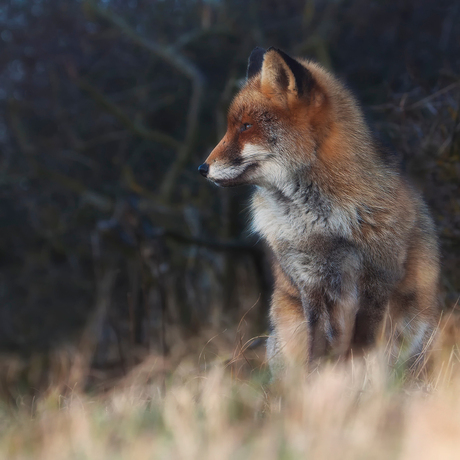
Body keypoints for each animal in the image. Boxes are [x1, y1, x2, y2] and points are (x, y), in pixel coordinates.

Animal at [199, 46, 440, 376]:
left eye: (246, 126)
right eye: (232, 126)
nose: (201, 169)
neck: (318, 225)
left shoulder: (377, 280)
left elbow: (362, 350)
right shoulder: (311, 284)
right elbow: (319, 352)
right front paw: (320, 385)